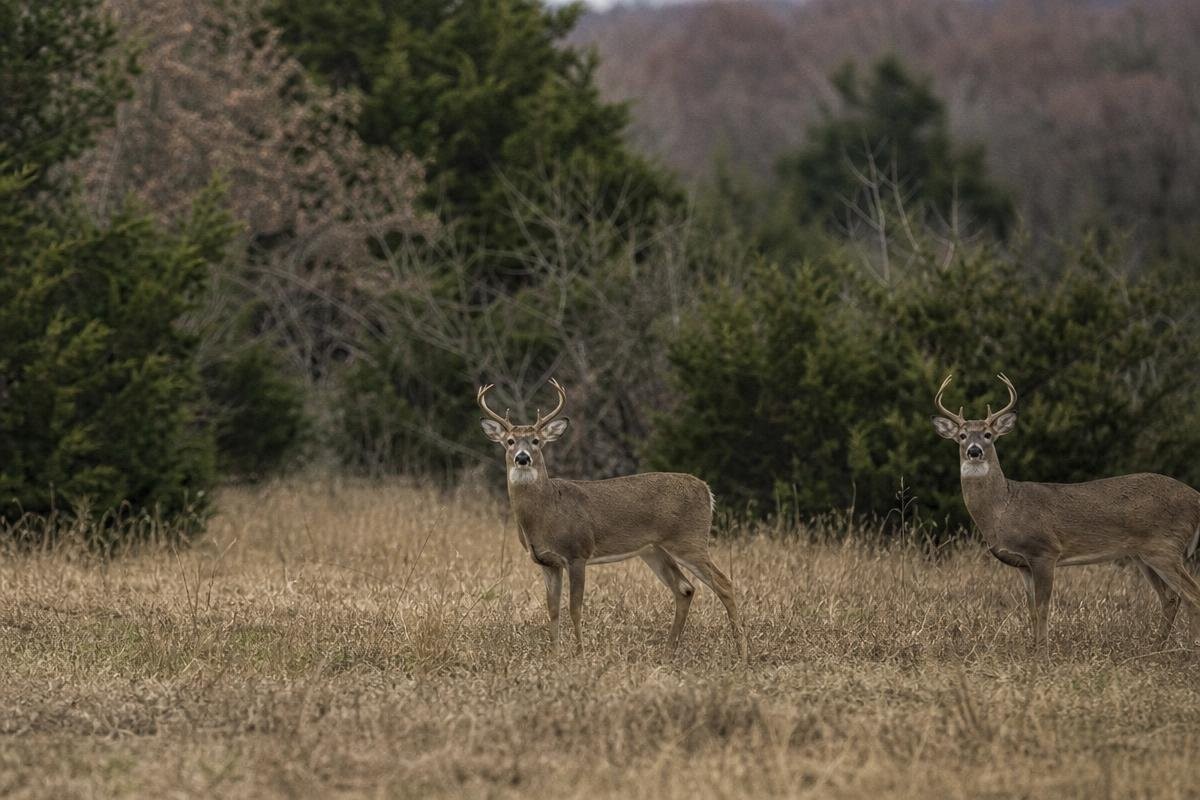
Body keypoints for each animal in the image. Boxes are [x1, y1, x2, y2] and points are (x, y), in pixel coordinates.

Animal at [477, 378, 748, 659]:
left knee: (724, 583)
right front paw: (555, 655)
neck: (546, 513)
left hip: (689, 539)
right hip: (653, 549)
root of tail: (706, 490)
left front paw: (580, 653)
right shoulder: (546, 562)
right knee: (685, 588)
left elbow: (575, 608)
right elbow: (552, 611)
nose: (522, 458)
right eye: (510, 441)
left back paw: (742, 652)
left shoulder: (578, 553)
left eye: (536, 441)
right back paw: (668, 651)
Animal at [932, 373, 1200, 654]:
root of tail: (1196, 498)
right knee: (1170, 597)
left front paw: (1043, 651)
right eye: (962, 435)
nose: (974, 451)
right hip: (1143, 554)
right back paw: (1157, 646)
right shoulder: (1023, 565)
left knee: (1192, 594)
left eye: (988, 434)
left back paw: (1189, 650)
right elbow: (1031, 610)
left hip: (1165, 546)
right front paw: (1033, 648)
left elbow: (1043, 608)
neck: (1003, 508)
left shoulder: (1045, 551)